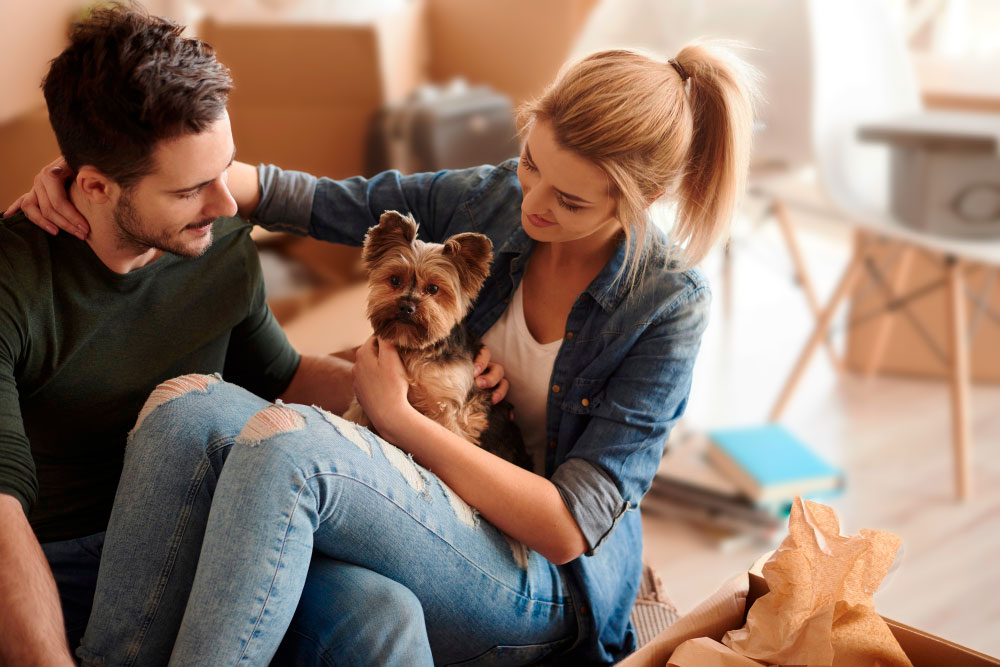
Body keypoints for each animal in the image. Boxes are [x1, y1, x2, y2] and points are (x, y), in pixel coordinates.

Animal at [344, 210, 532, 470]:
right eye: (394, 280)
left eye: (433, 288)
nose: (406, 306)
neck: (415, 348)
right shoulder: (363, 400)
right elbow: (354, 415)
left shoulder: (447, 409)